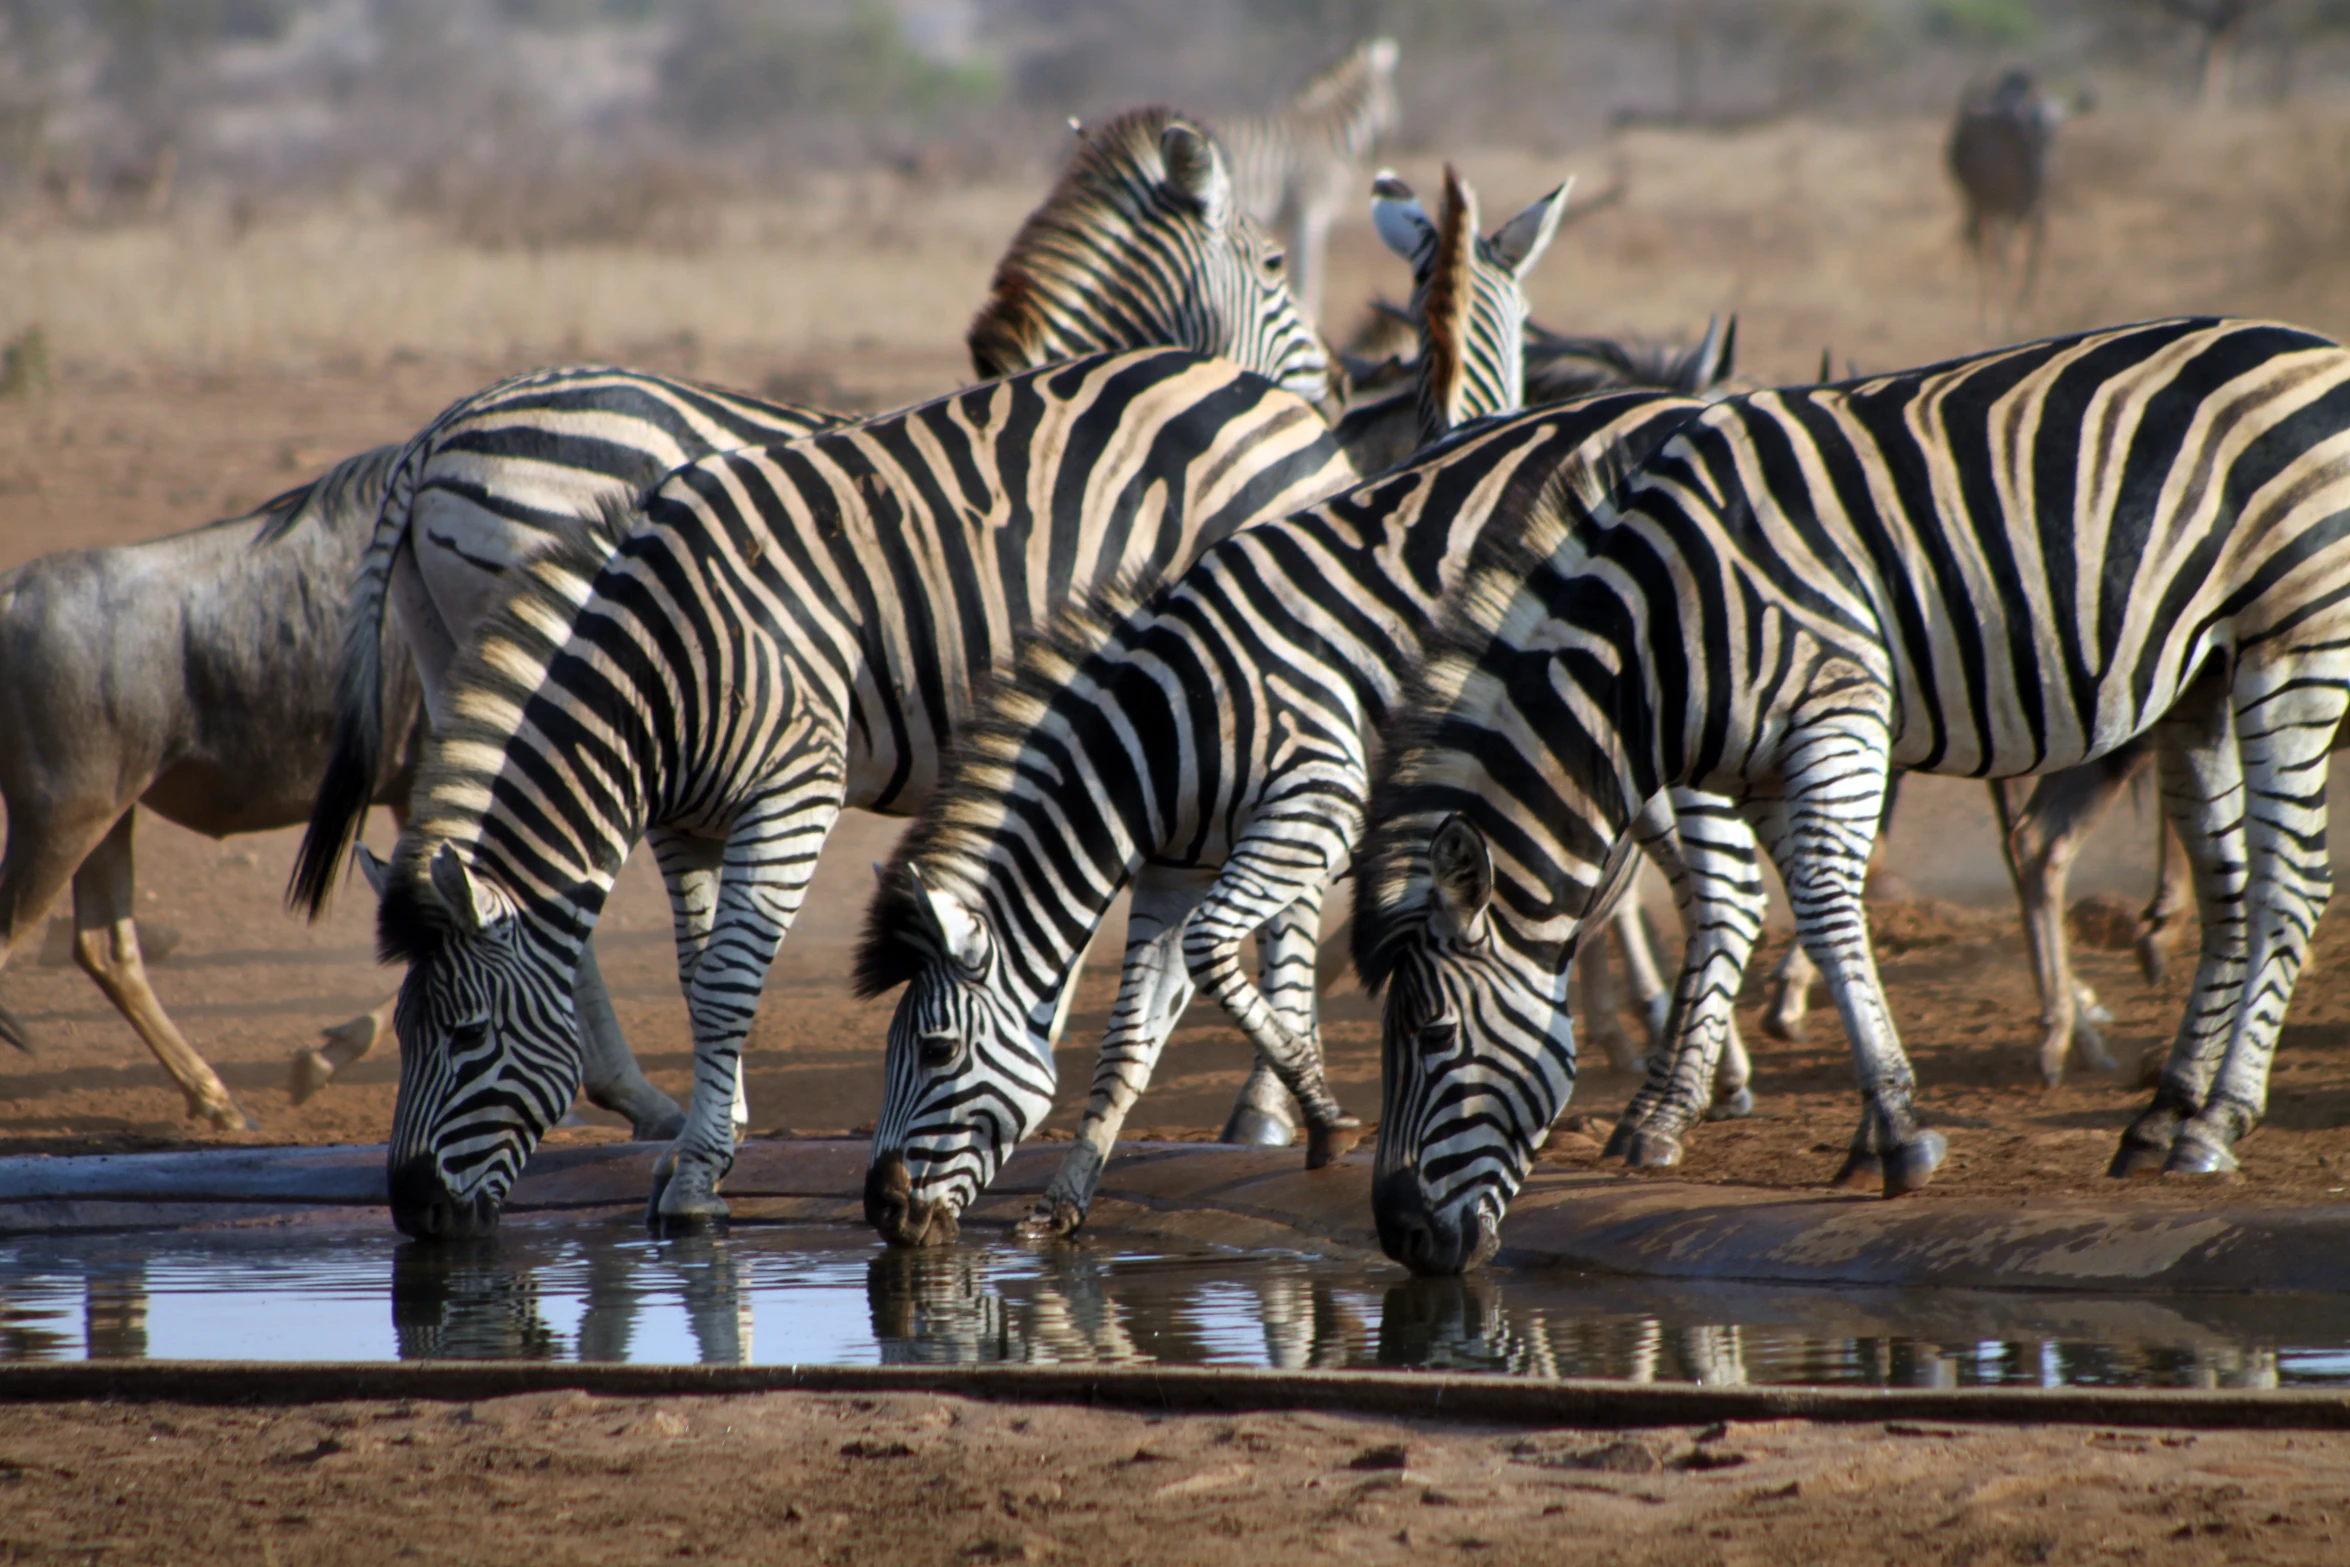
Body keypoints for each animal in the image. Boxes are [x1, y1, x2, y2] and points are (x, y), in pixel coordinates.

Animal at [357, 350, 1353, 1240]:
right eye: (402, 1034)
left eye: (467, 1035)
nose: (413, 1212)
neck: (667, 668)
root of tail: (1279, 401)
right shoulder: (687, 822)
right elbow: (701, 980)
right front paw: (707, 1142)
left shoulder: (793, 792)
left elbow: (730, 984)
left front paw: (696, 1176)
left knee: (1293, 897)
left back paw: (1275, 1107)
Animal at [1353, 314, 2350, 1278]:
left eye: (1434, 1034)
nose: (1401, 1237)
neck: (1657, 634)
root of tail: (2314, 347)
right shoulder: (1765, 768)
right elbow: (1818, 921)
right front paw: (1869, 1134)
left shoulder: (1836, 716)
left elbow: (1829, 913)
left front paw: (1901, 1138)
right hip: (2202, 682)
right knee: (2228, 891)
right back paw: (2162, 1117)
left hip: (2293, 645)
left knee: (2291, 885)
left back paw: (2215, 1124)